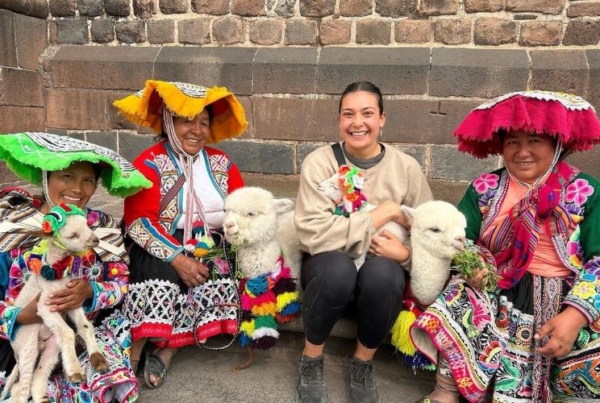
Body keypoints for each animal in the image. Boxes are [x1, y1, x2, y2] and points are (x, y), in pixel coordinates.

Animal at [2, 205, 109, 403]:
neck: (58, 276)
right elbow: (68, 332)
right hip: (27, 346)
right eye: (73, 235)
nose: (95, 240)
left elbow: (85, 327)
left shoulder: (73, 302)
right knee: (20, 389)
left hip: (51, 345)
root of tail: (17, 355)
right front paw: (75, 370)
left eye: (87, 224)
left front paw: (98, 359)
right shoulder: (46, 306)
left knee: (36, 378)